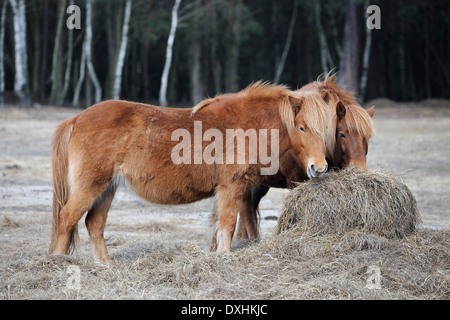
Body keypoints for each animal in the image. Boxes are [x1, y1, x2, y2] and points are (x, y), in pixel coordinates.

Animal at [49, 81, 330, 262]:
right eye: (302, 128)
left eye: (325, 127)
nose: (319, 168)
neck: (247, 125)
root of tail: (76, 119)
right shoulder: (232, 186)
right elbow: (228, 223)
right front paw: (225, 256)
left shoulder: (224, 190)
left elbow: (217, 225)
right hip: (91, 186)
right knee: (66, 219)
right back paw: (58, 262)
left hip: (107, 188)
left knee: (93, 224)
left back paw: (106, 265)